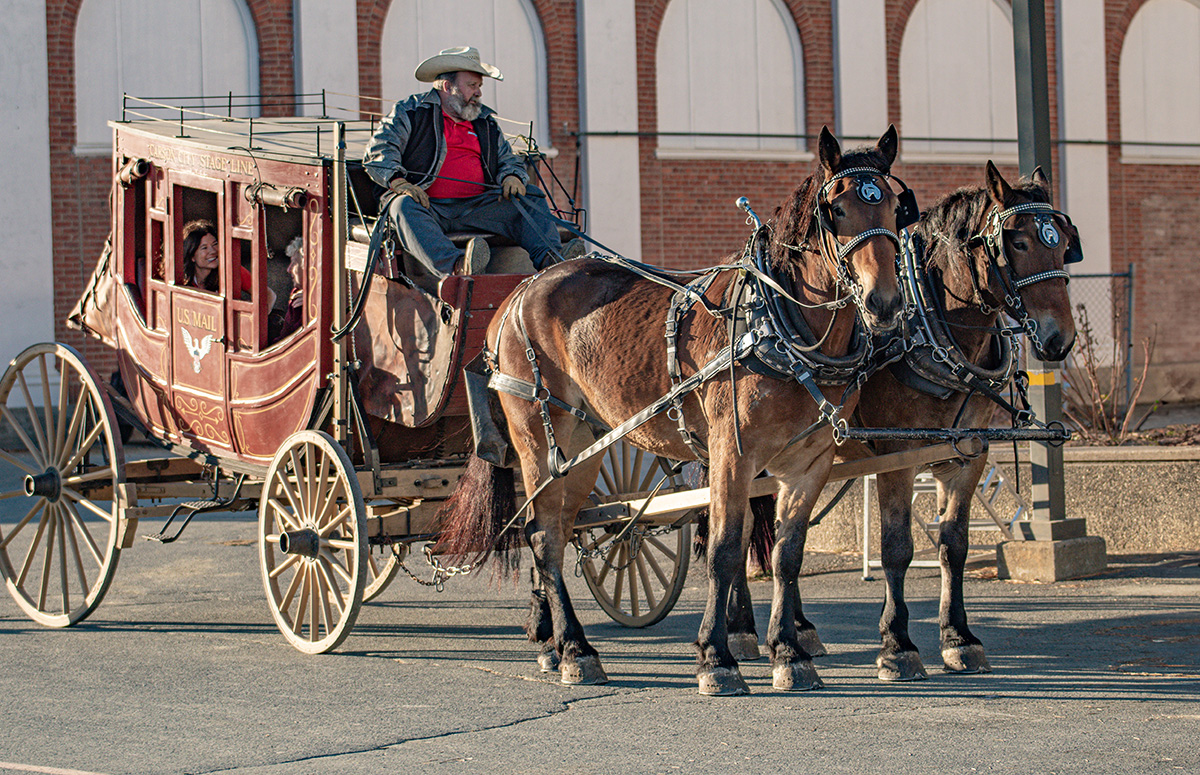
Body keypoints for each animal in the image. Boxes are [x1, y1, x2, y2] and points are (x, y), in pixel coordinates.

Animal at [439, 127, 907, 700]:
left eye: (894, 207)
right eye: (837, 210)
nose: (884, 303)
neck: (783, 327)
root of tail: (517, 294)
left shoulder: (810, 462)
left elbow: (786, 555)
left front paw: (789, 652)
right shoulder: (733, 454)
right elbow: (725, 549)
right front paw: (716, 656)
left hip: (585, 445)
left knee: (554, 528)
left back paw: (551, 640)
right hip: (539, 434)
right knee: (544, 536)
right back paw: (574, 648)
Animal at [720, 161, 1080, 681]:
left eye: (1063, 240)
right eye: (1016, 241)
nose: (1059, 339)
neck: (936, 327)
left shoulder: (968, 455)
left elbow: (954, 546)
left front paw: (958, 637)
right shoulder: (897, 456)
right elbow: (897, 548)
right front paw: (898, 644)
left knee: (783, 531)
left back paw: (800, 629)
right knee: (741, 525)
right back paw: (740, 630)